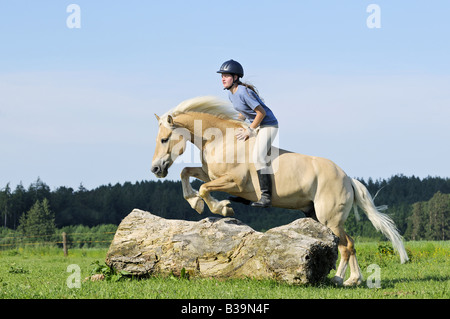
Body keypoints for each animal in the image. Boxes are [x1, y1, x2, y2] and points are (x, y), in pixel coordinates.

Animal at [151, 96, 408, 286]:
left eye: (164, 139)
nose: (155, 169)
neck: (221, 140)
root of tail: (347, 178)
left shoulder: (234, 182)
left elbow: (204, 189)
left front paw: (221, 208)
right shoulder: (210, 174)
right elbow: (186, 173)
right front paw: (195, 202)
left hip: (330, 218)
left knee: (346, 246)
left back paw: (339, 279)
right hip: (318, 216)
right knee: (350, 243)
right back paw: (353, 280)